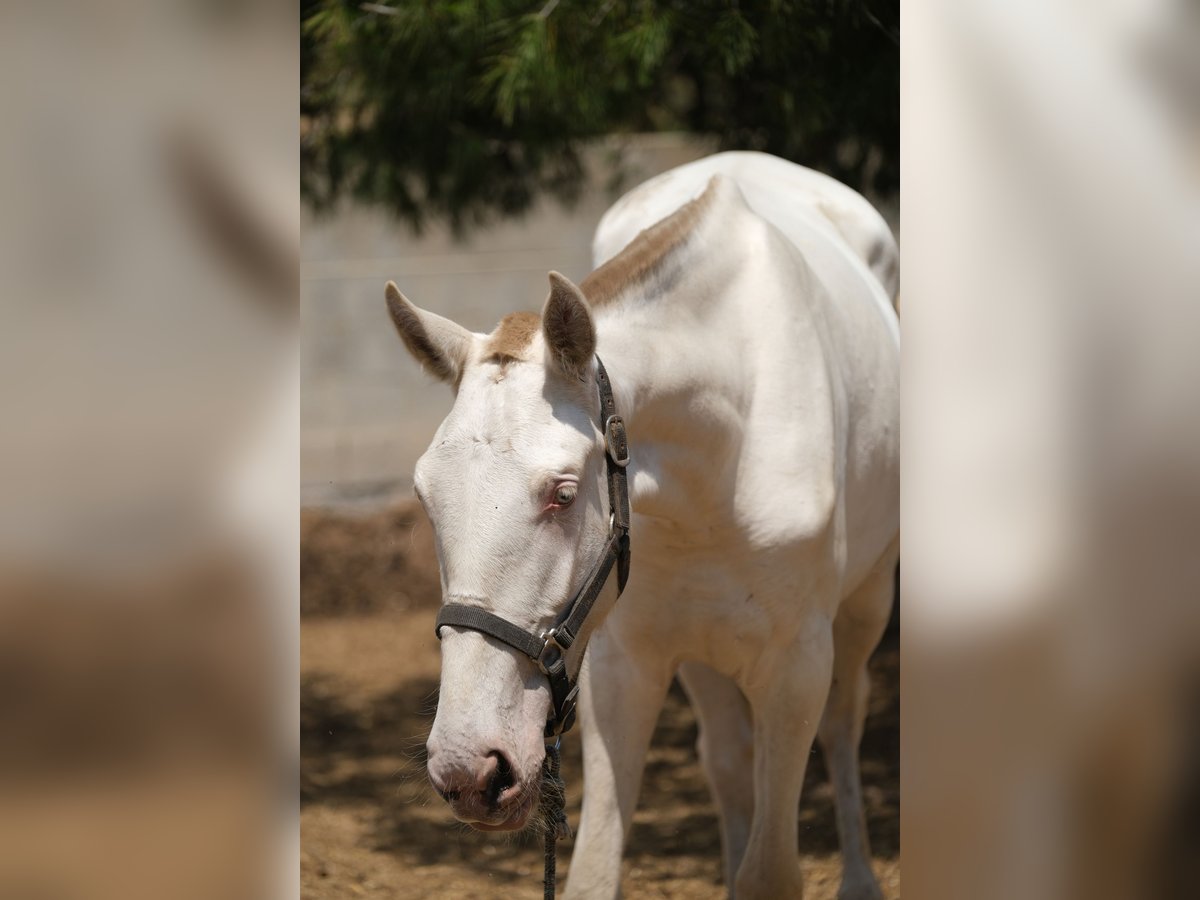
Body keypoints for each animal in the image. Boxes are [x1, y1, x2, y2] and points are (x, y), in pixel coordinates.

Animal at [384, 153, 902, 900]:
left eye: (564, 494)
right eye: (427, 497)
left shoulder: (796, 669)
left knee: (844, 720)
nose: (471, 771)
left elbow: (771, 869)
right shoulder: (623, 666)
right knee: (725, 755)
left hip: (866, 602)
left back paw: (859, 878)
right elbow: (595, 873)